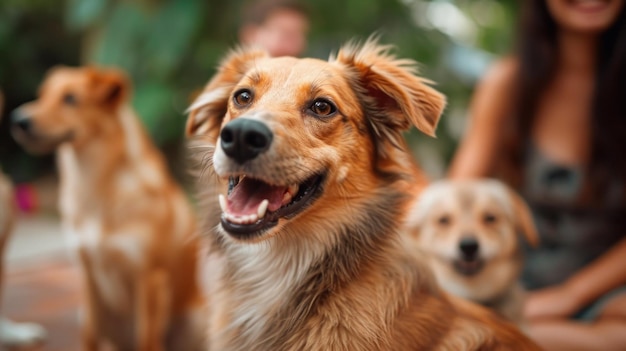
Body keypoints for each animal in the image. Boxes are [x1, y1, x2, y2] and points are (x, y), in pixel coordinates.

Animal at [11, 68, 205, 351]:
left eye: (70, 99)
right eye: (42, 96)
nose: (18, 120)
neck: (98, 189)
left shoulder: (150, 278)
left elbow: (146, 339)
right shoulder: (88, 276)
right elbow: (90, 335)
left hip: (193, 320)